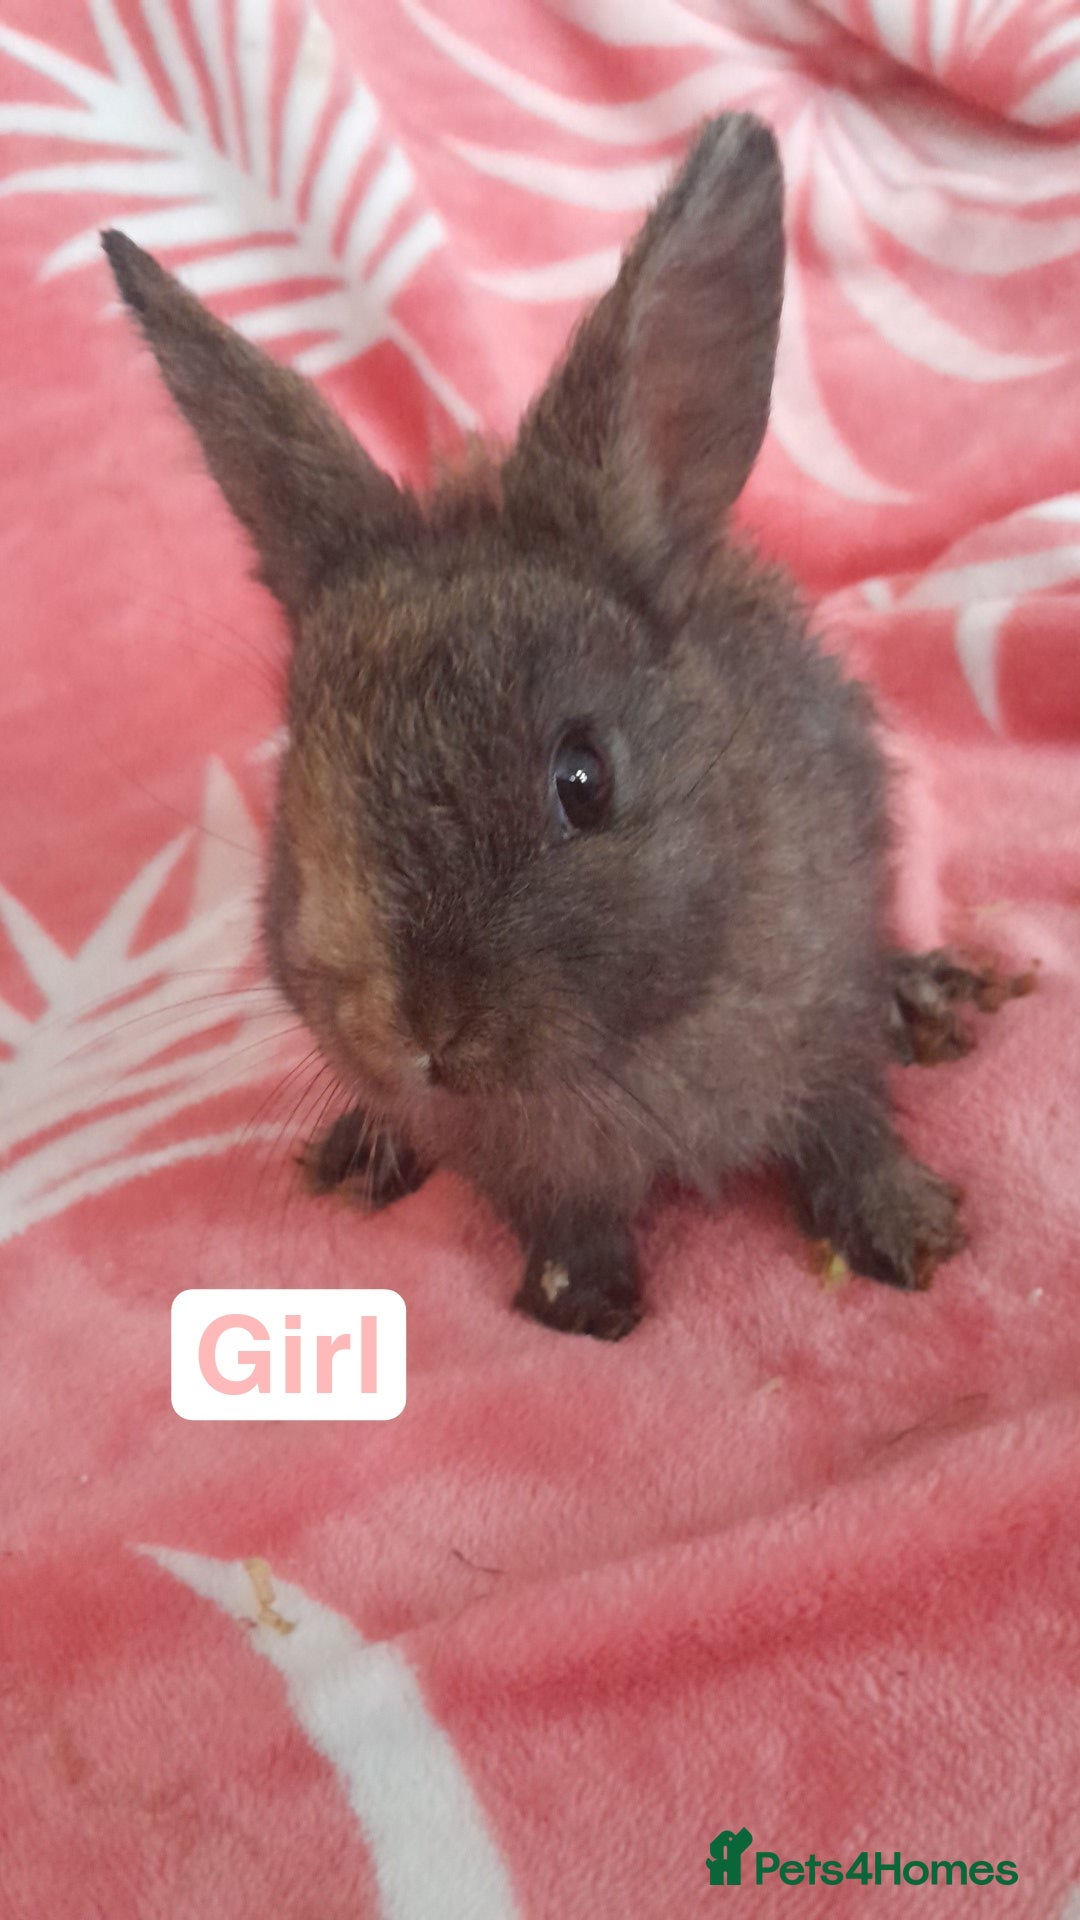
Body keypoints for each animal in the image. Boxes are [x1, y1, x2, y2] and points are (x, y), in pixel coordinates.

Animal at [102, 113, 1029, 1341]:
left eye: (582, 780)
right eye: (299, 775)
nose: (420, 1030)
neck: (627, 1045)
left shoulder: (823, 1011)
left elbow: (848, 1121)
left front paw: (903, 1228)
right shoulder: (523, 1167)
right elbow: (561, 1212)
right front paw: (581, 1302)